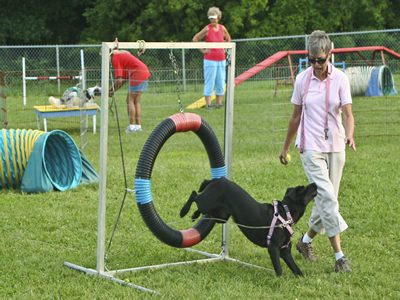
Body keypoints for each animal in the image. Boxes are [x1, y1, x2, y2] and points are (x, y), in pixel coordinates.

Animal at [180, 178, 318, 276]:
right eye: (304, 189)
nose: (315, 184)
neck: (285, 213)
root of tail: (218, 179)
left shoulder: (285, 251)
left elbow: (296, 269)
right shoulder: (273, 249)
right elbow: (279, 270)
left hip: (220, 215)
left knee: (201, 207)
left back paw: (194, 215)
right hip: (207, 202)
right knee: (194, 195)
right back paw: (183, 211)